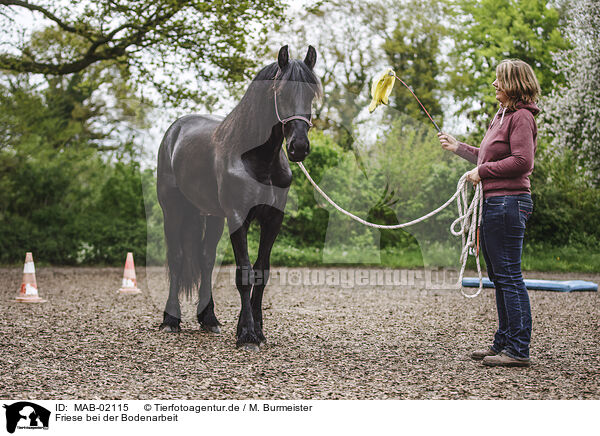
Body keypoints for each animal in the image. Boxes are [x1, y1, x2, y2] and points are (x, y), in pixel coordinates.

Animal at [157, 46, 322, 350]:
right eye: (281, 92)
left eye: (311, 94)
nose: (299, 147)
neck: (256, 158)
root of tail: (175, 131)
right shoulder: (238, 218)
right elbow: (244, 274)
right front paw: (246, 334)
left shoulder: (273, 220)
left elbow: (261, 272)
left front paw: (258, 329)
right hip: (172, 209)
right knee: (176, 257)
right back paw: (170, 320)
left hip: (212, 216)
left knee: (206, 259)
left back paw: (208, 319)